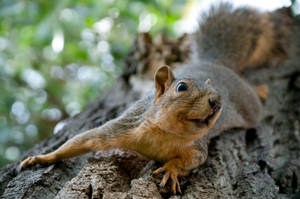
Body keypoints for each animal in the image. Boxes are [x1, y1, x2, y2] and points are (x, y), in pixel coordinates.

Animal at [18, 3, 290, 194]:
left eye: (221, 95)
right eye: (181, 87)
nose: (218, 102)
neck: (165, 133)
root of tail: (216, 63)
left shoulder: (197, 146)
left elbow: (194, 160)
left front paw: (171, 169)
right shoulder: (124, 126)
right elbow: (84, 140)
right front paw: (42, 158)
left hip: (251, 107)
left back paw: (260, 89)